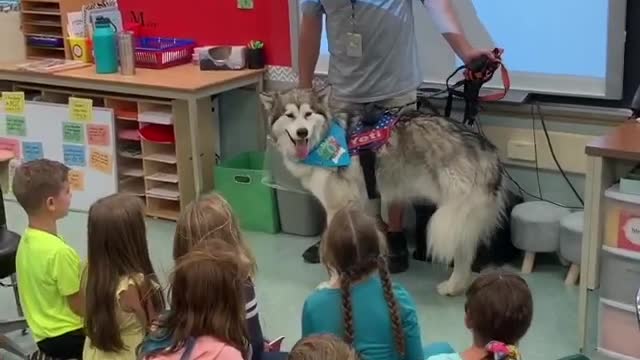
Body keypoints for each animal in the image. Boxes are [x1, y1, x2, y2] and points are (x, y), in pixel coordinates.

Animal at [258, 88, 504, 296]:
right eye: (290, 115)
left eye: (308, 114)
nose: (302, 132)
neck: (325, 139)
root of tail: (487, 149)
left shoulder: (337, 207)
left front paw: (334, 282)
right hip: (459, 217)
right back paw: (455, 286)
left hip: (454, 215)